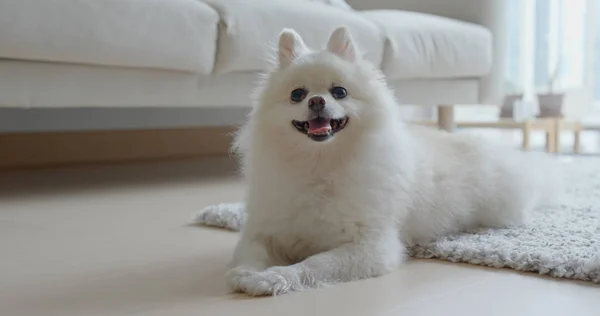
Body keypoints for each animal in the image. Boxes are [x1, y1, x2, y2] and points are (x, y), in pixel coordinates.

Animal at [193, 27, 564, 296]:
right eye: (297, 94)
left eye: (339, 92)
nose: (316, 101)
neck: (320, 164)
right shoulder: (267, 228)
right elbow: (251, 251)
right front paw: (248, 272)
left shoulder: (370, 247)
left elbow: (314, 264)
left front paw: (276, 278)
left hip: (501, 209)